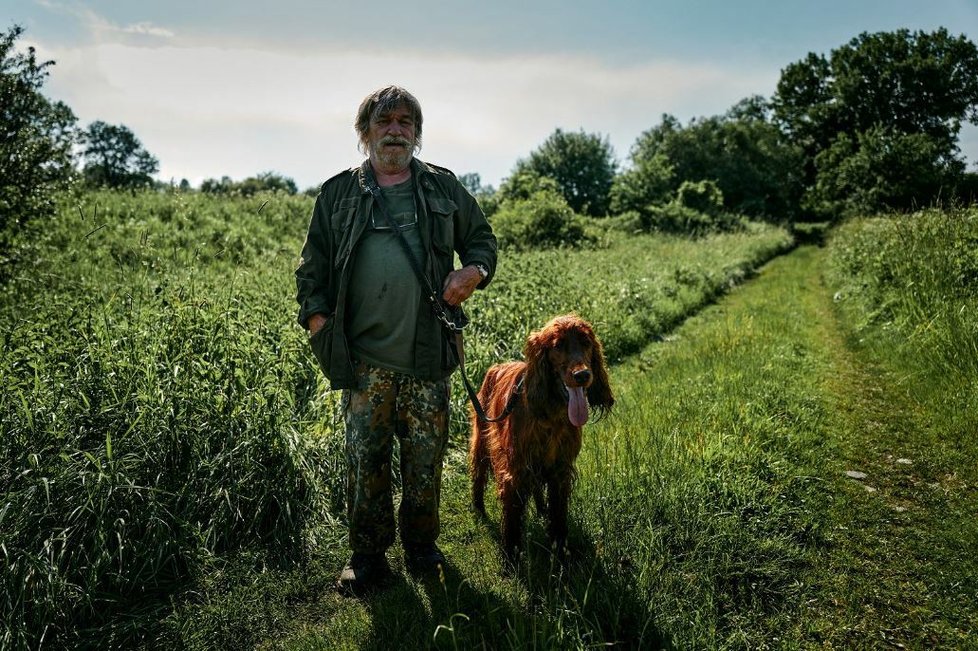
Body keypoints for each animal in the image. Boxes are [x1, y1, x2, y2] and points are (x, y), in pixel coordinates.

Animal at [466, 316, 608, 560]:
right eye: (558, 346)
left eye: (586, 342)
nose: (582, 375)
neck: (552, 414)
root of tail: (496, 366)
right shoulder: (515, 472)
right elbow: (512, 521)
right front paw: (511, 557)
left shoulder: (560, 470)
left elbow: (558, 515)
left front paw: (560, 551)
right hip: (482, 440)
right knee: (479, 474)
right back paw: (478, 509)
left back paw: (541, 510)